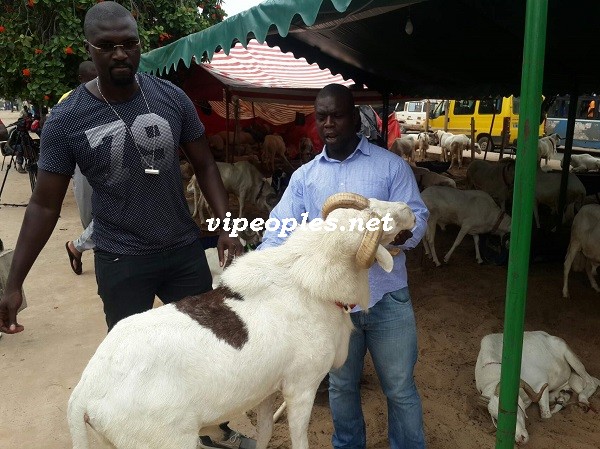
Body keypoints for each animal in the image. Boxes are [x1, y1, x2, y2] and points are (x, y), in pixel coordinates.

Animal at [64, 192, 412, 448]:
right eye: (376, 220)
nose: (408, 209)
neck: (308, 284)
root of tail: (85, 392)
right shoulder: (300, 387)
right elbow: (299, 440)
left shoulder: (267, 390)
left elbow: (265, 433)